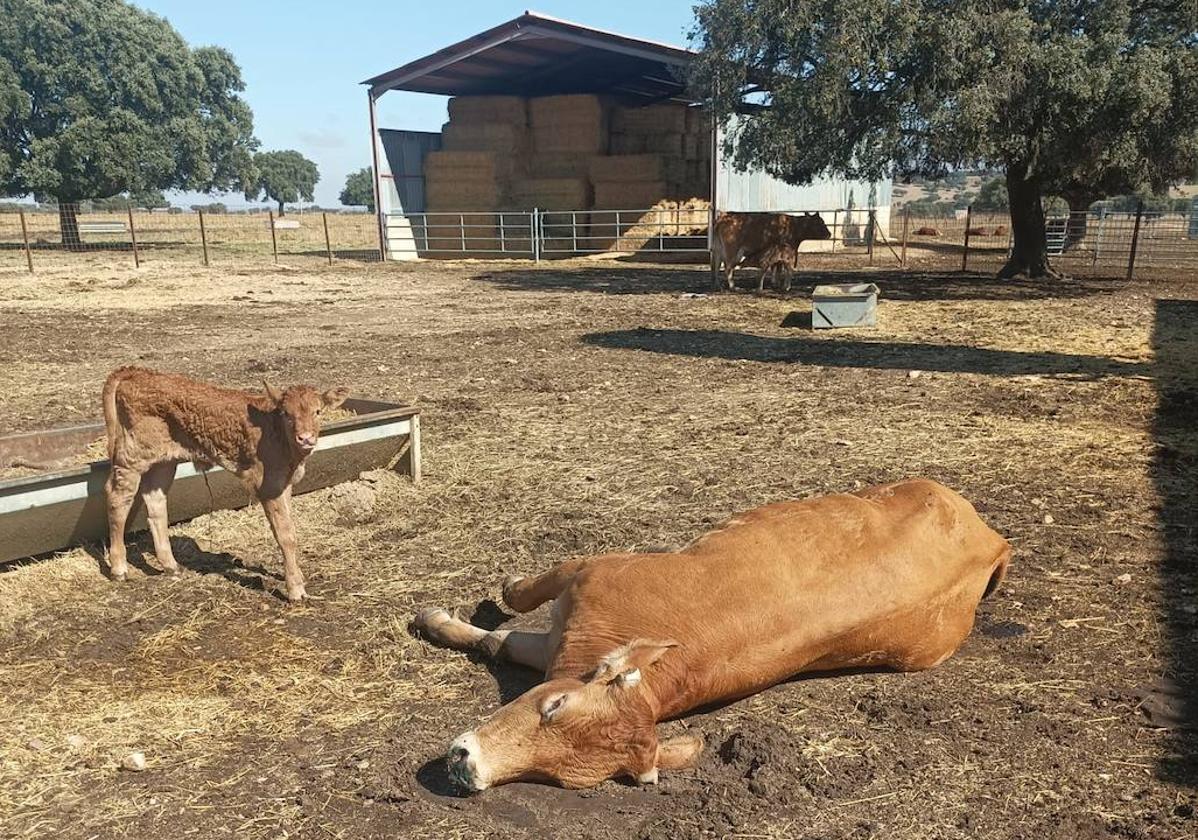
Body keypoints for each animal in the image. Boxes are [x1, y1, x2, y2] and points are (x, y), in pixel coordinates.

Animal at [103, 366, 349, 603]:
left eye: (318, 411)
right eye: (286, 414)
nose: (305, 438)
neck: (277, 433)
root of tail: (134, 372)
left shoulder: (284, 484)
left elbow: (292, 530)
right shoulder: (268, 486)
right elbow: (285, 536)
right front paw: (296, 590)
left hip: (164, 461)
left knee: (155, 501)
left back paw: (171, 565)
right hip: (133, 454)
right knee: (118, 498)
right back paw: (119, 568)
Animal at [416, 479, 1006, 790]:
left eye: (562, 780)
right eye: (553, 705)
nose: (465, 768)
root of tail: (990, 538)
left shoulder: (592, 576)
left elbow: (505, 633)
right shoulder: (592, 570)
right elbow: (513, 612)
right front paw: (462, 608)